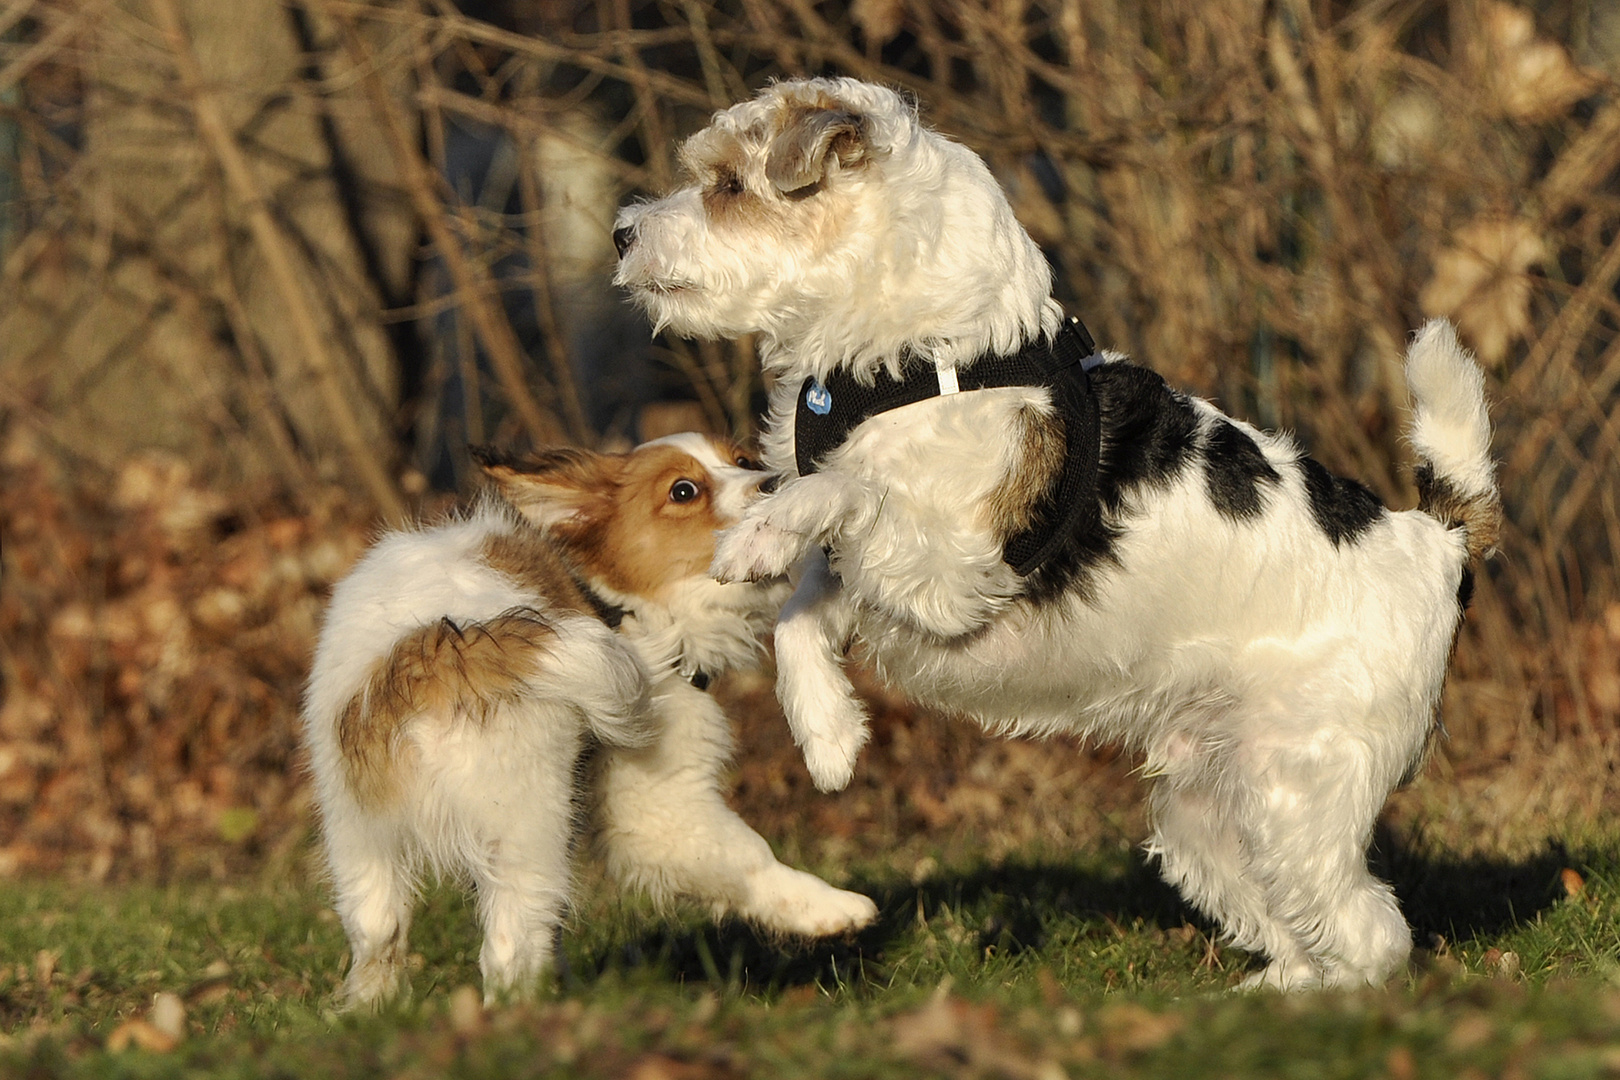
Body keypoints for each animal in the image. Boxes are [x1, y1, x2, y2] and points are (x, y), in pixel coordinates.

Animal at [301, 433, 874, 1016]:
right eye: (683, 491)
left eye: (740, 460)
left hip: (355, 825)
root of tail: (425, 653)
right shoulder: (654, 798)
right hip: (527, 820)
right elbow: (748, 858)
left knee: (378, 933)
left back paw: (376, 1016)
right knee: (507, 947)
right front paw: (833, 908)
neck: (617, 605)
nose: (775, 482)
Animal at [612, 76, 1496, 990]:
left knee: (1372, 932)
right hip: (1210, 808)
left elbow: (841, 486)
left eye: (728, 186)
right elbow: (801, 612)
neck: (912, 354)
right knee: (1296, 920)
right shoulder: (885, 583)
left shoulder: (947, 571)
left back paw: (1336, 1000)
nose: (622, 231)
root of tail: (1438, 546)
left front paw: (759, 536)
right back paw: (1275, 990)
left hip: (1298, 788)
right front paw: (829, 739)